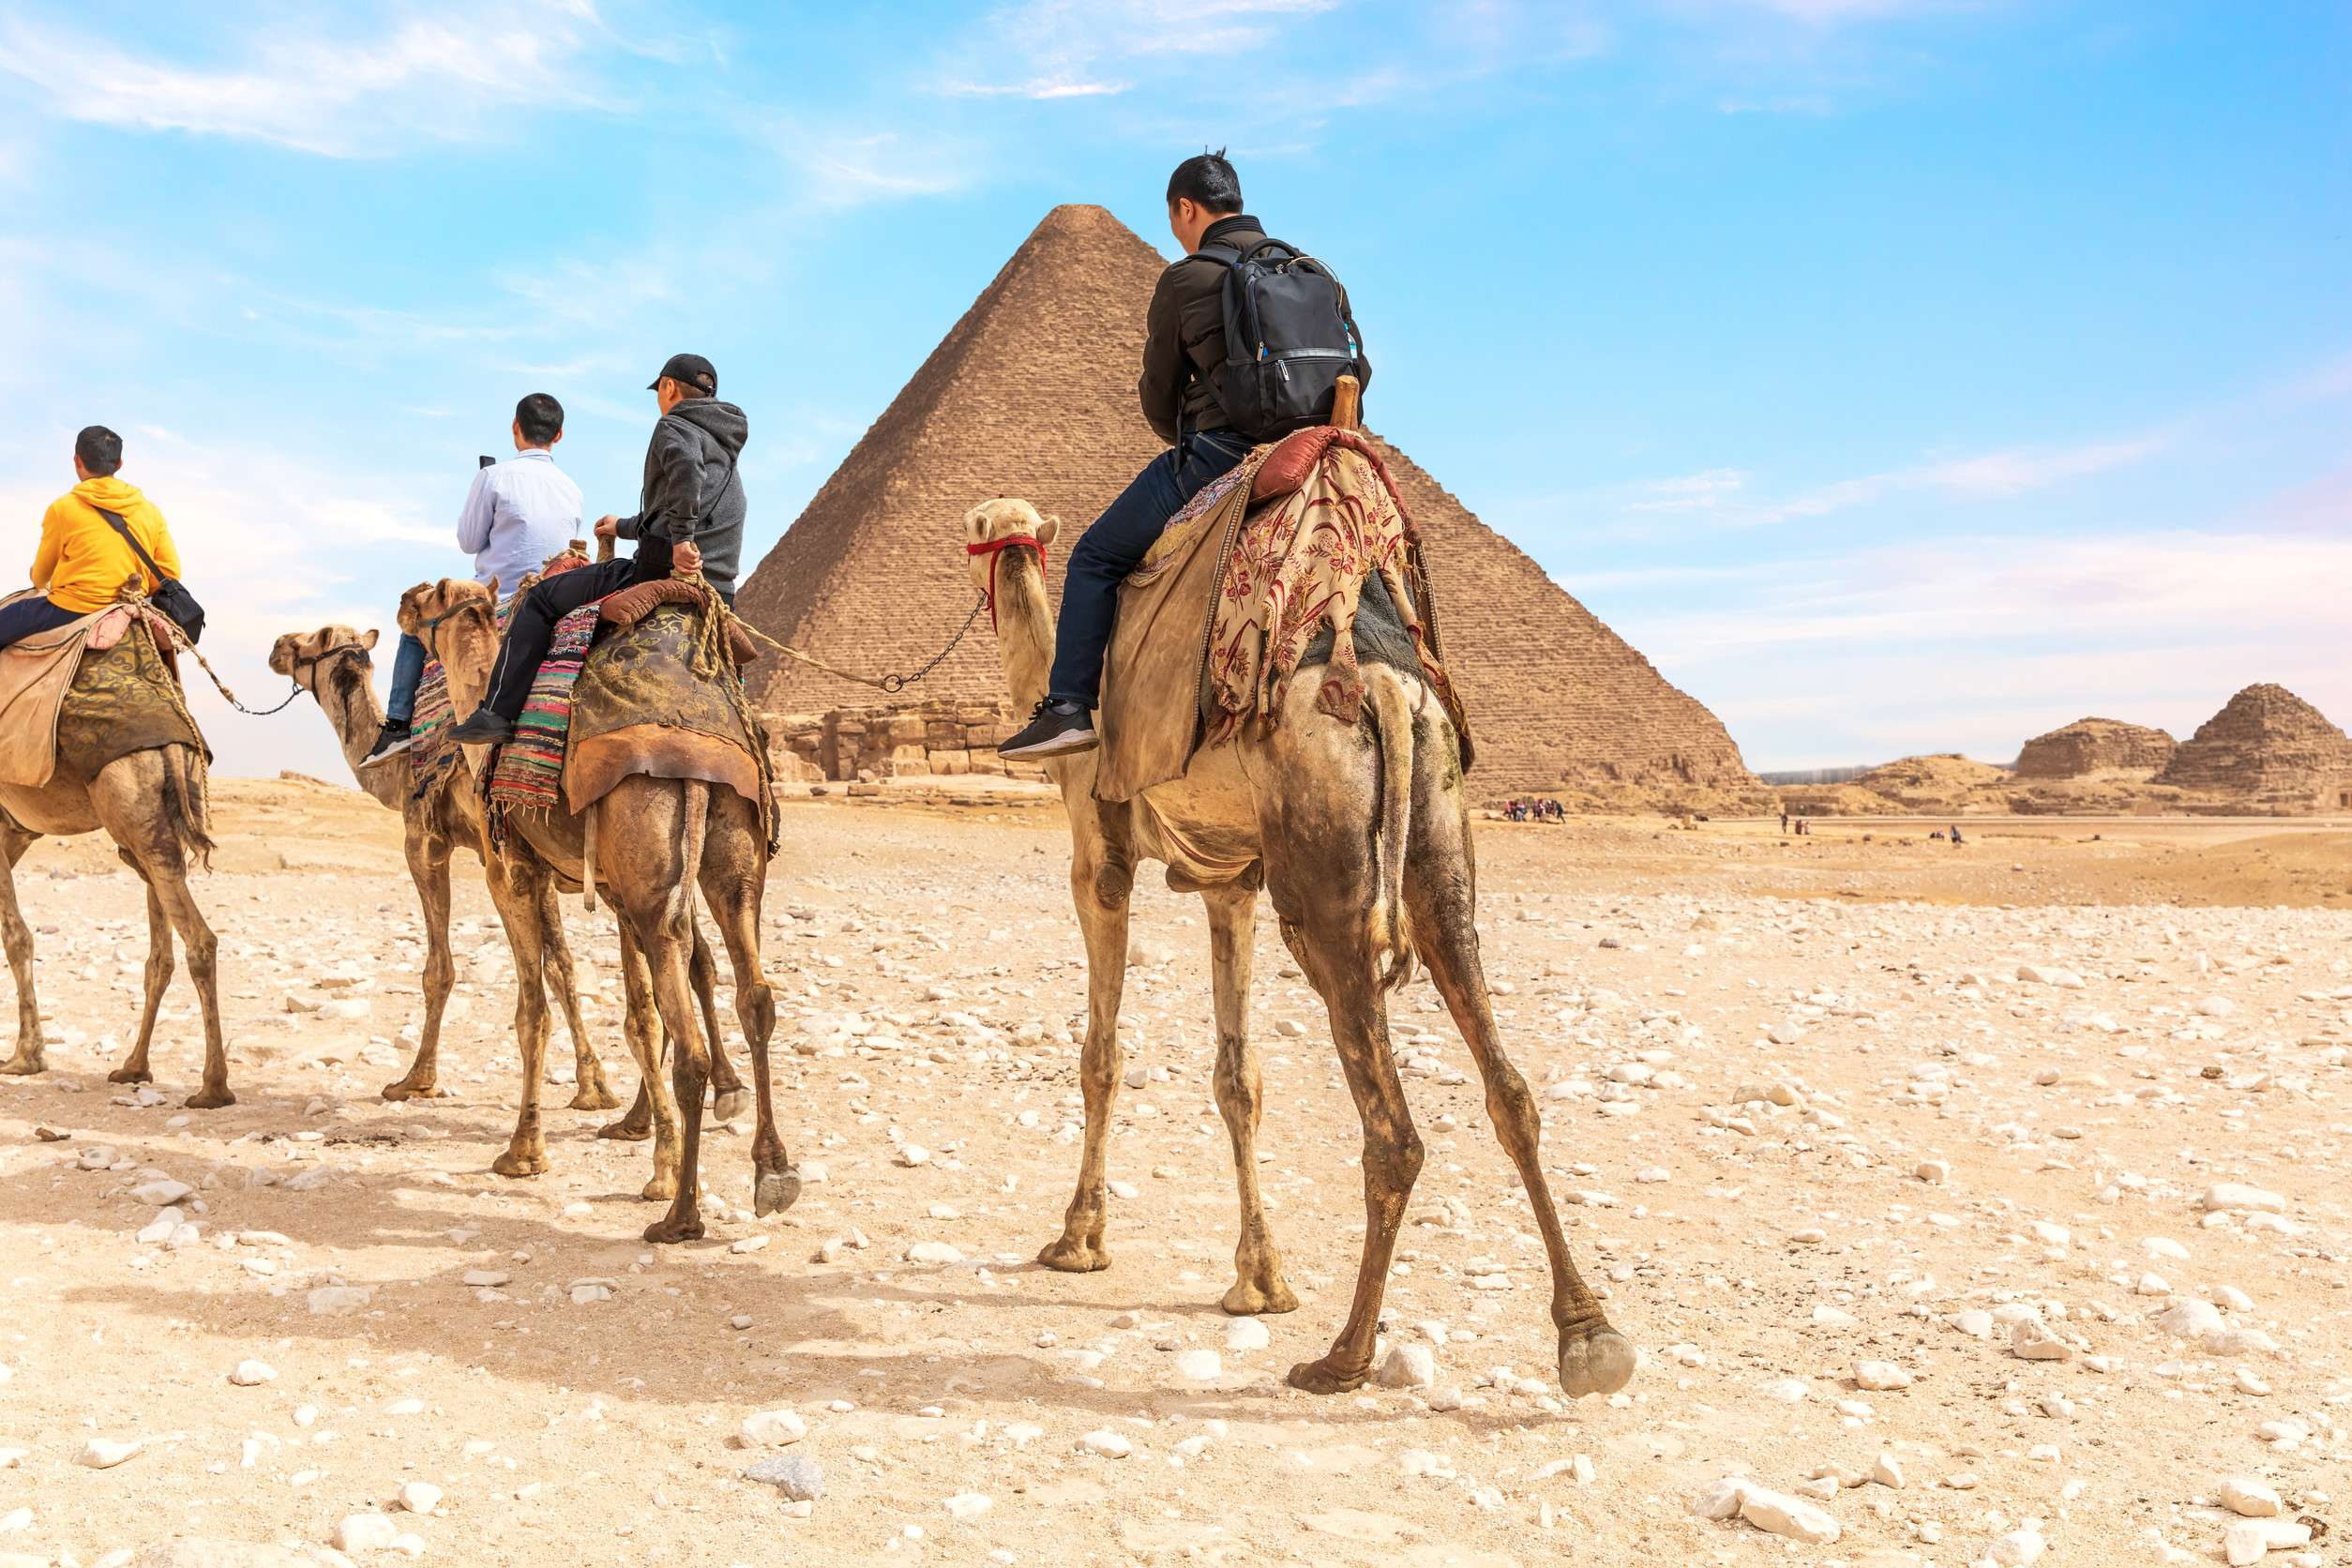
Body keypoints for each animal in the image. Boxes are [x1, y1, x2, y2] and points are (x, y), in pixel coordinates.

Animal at [0, 628, 229, 1108]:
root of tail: (174, 740)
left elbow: (16, 936)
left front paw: (27, 1057)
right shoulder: (15, 831)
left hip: (131, 808)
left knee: (199, 941)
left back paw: (213, 1087)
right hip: (152, 831)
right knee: (162, 953)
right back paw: (134, 1066)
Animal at [399, 576, 792, 1242]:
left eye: (428, 597)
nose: (402, 604)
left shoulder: (512, 873)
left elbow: (534, 1011)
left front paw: (523, 1152)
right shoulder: (607, 888)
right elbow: (647, 1007)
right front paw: (651, 1145)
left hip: (650, 859)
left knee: (690, 1041)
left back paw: (680, 1216)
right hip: (731, 858)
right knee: (753, 996)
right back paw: (772, 1172)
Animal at [962, 496, 1634, 1400]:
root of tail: (1380, 684)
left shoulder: (1098, 856)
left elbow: (1100, 1058)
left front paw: (1078, 1242)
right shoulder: (1229, 883)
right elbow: (1237, 1079)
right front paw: (1260, 1281)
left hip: (1323, 889)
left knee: (1394, 1134)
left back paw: (1344, 1356)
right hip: (1437, 844)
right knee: (1509, 1086)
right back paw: (1587, 1333)